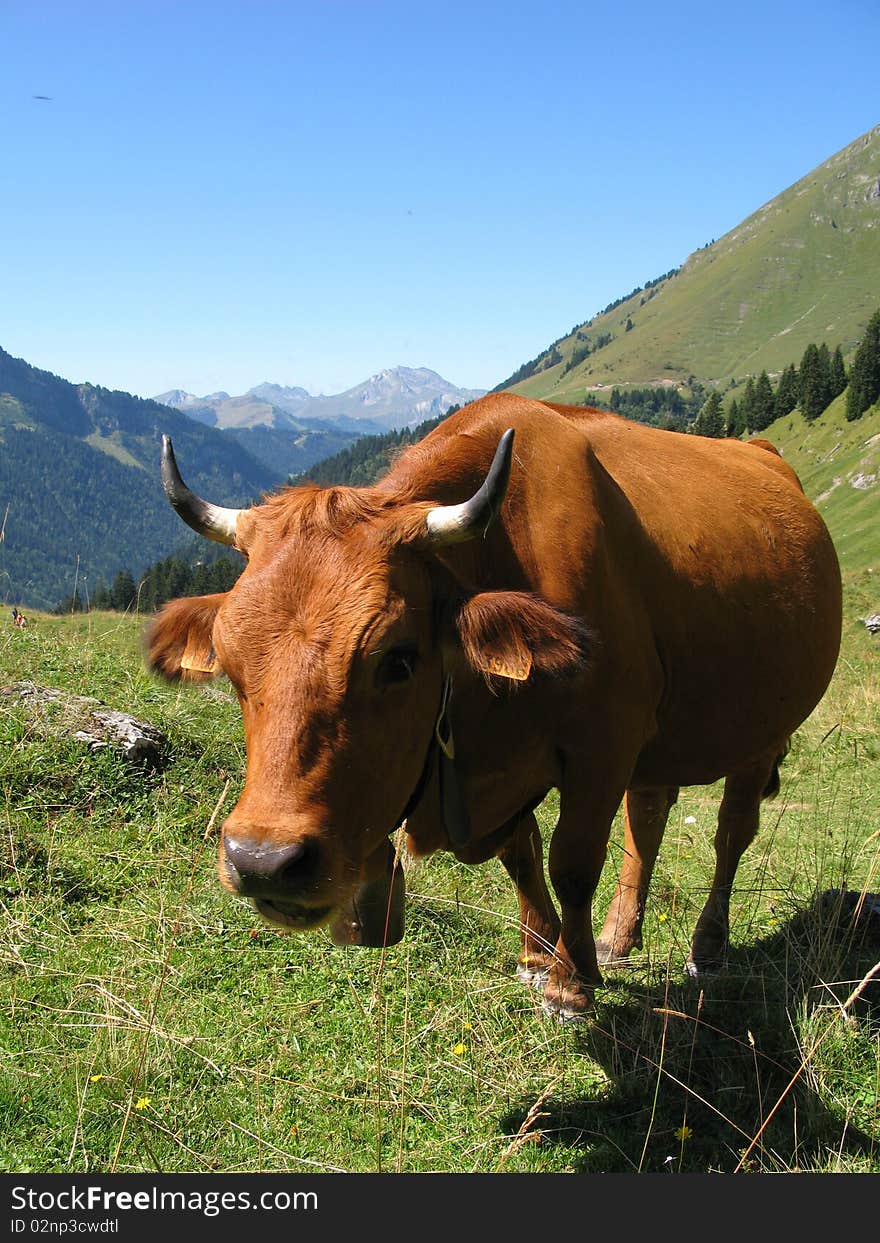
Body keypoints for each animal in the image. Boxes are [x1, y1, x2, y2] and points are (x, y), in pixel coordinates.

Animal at [147, 395, 840, 1019]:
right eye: (231, 666)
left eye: (399, 660)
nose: (263, 862)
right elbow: (521, 855)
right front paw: (540, 956)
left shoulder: (604, 745)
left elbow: (572, 862)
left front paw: (568, 983)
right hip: (662, 742)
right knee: (648, 818)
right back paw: (617, 938)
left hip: (762, 733)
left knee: (731, 833)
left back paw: (707, 947)